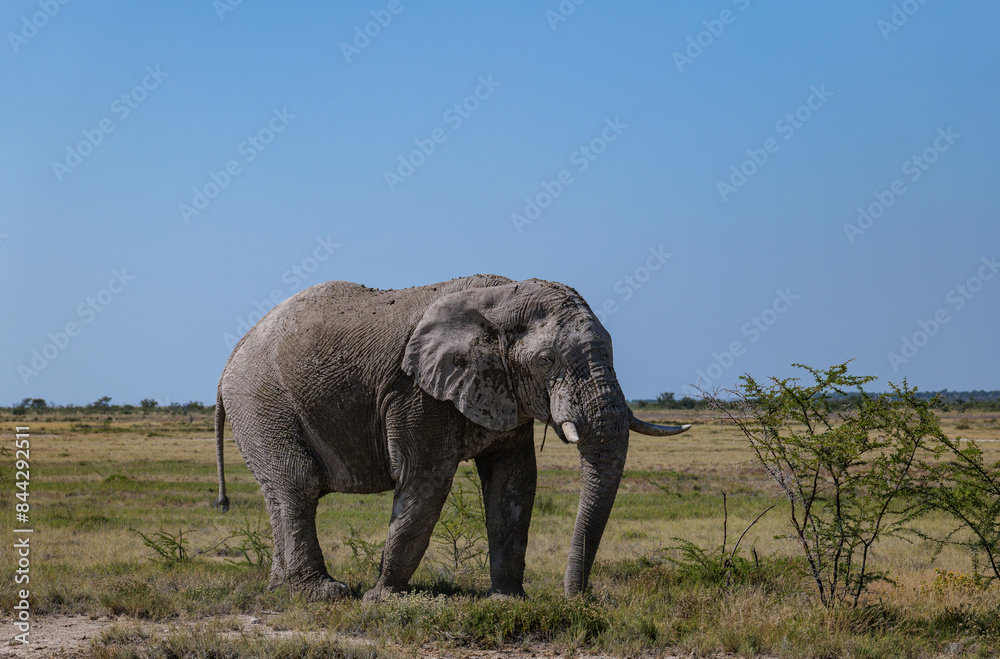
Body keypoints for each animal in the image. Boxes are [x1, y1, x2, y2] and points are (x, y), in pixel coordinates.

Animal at [213, 274, 690, 602]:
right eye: (546, 359)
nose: (579, 598)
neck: (504, 297)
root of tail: (231, 356)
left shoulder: (503, 392)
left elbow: (513, 481)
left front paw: (508, 601)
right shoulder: (416, 392)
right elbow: (426, 477)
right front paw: (383, 599)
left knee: (285, 491)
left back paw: (282, 591)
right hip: (261, 401)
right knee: (298, 484)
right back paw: (323, 593)